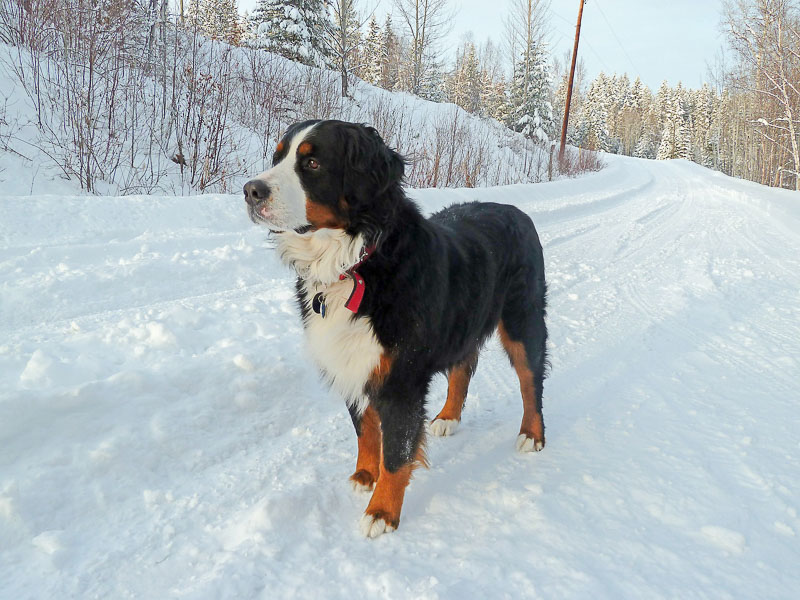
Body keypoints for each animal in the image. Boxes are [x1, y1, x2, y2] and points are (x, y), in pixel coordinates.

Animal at [241, 119, 548, 536]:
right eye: (278, 157)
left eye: (313, 163)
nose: (250, 191)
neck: (355, 265)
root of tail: (516, 211)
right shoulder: (353, 361)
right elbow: (367, 430)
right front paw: (364, 476)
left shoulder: (402, 377)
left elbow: (397, 451)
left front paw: (382, 511)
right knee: (464, 366)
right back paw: (448, 418)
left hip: (522, 318)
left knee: (531, 380)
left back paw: (533, 434)